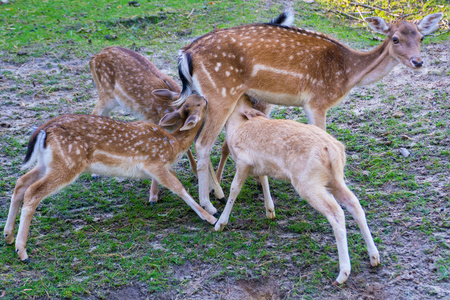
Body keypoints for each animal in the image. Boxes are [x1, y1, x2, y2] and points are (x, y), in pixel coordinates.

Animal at [4, 93, 217, 260]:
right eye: (198, 103)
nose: (205, 97)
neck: (174, 144)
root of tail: (44, 129)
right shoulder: (155, 163)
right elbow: (179, 188)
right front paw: (210, 217)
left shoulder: (161, 167)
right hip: (68, 163)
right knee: (33, 192)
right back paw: (22, 251)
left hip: (47, 163)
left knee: (21, 182)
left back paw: (8, 237)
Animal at [89, 45, 199, 203]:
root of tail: (93, 58)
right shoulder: (153, 121)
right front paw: (153, 196)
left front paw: (196, 171)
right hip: (105, 94)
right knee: (94, 113)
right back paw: (94, 174)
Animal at [176, 10, 442, 214]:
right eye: (395, 38)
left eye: (421, 37)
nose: (418, 62)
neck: (348, 75)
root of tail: (186, 53)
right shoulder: (317, 101)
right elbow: (322, 134)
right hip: (221, 93)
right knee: (203, 143)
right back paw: (209, 204)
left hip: (207, 97)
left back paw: (215, 191)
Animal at [214, 94, 380, 284]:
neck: (238, 127)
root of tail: (331, 149)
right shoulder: (260, 166)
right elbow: (264, 181)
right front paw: (270, 211)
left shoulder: (243, 161)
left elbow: (235, 189)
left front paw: (220, 223)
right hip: (335, 180)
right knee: (354, 205)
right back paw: (374, 257)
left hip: (308, 184)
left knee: (336, 213)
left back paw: (343, 273)